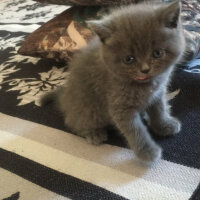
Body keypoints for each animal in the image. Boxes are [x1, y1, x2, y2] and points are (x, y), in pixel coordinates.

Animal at [41, 1, 185, 163]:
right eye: (129, 59)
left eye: (158, 53)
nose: (145, 69)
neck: (145, 85)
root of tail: (64, 99)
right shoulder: (119, 105)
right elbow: (135, 130)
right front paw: (147, 152)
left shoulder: (158, 94)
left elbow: (159, 110)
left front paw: (164, 125)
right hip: (88, 109)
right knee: (73, 122)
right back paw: (94, 133)